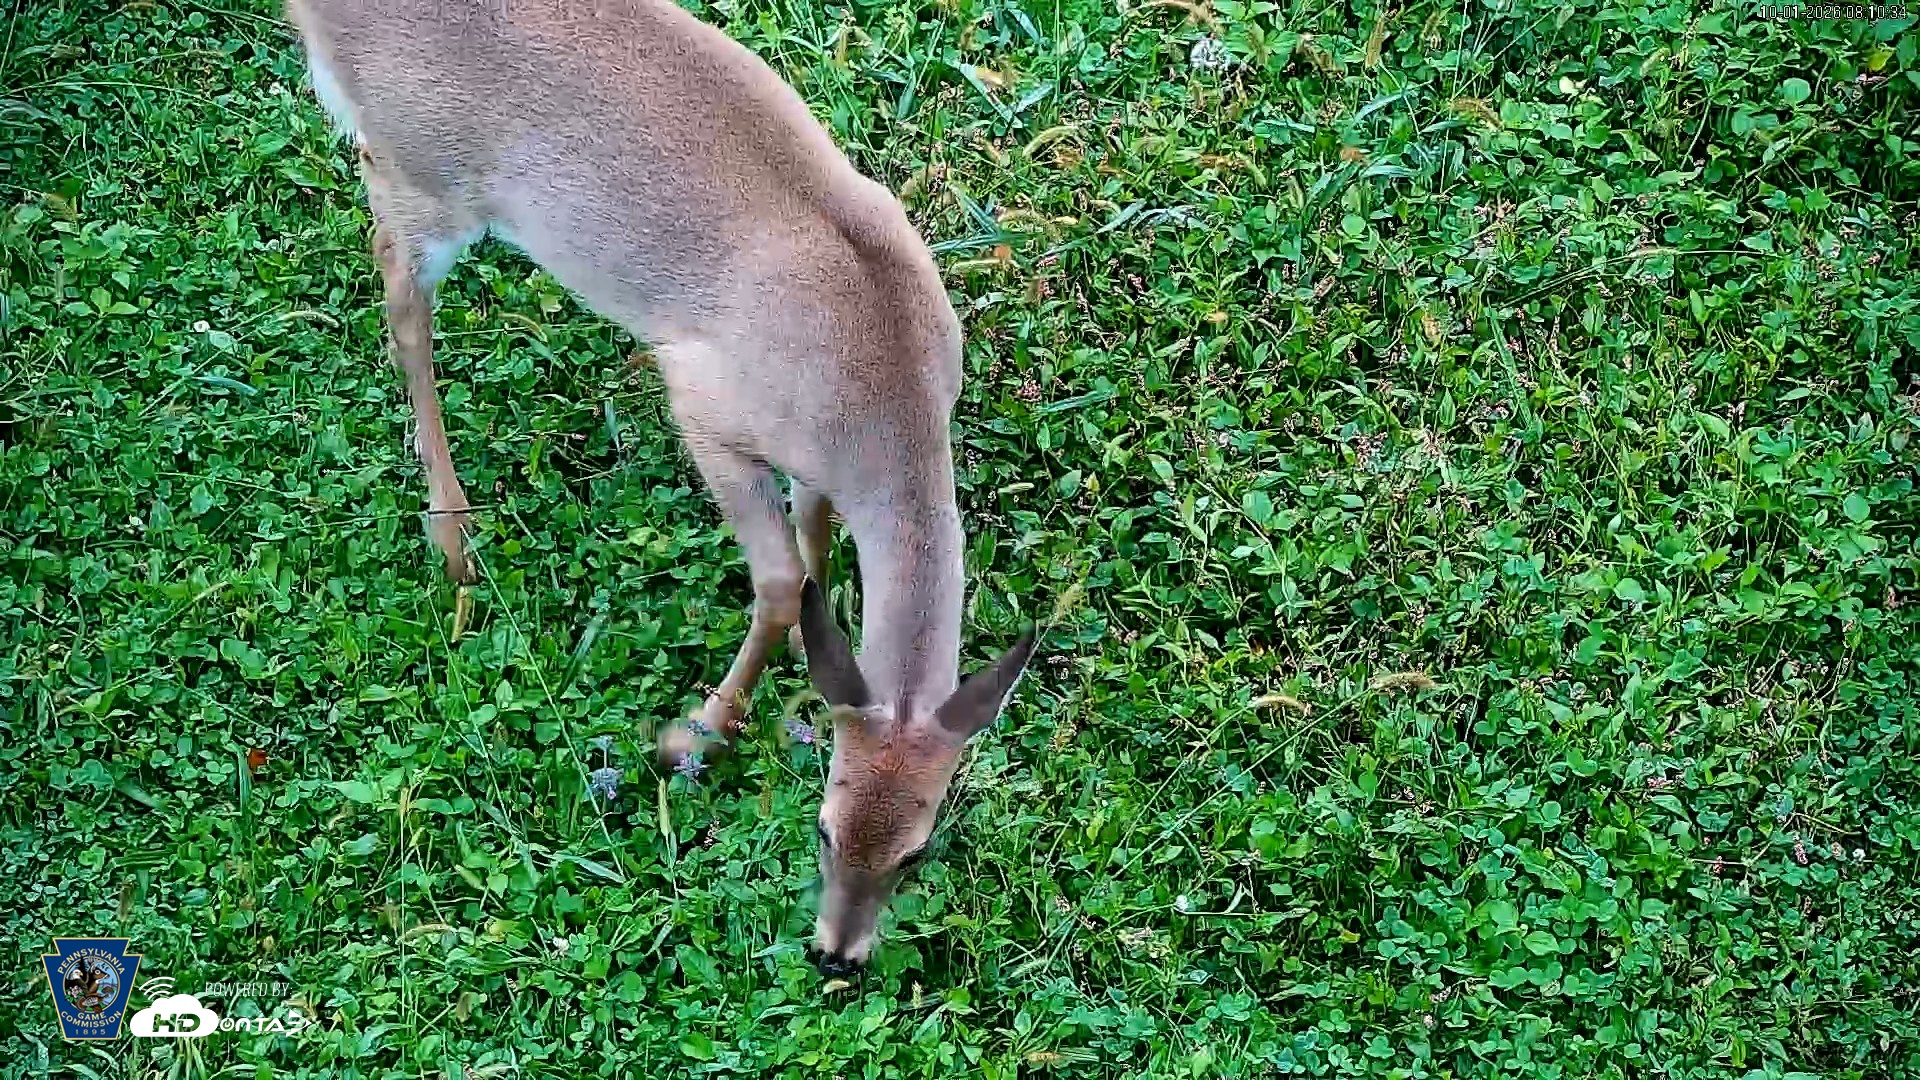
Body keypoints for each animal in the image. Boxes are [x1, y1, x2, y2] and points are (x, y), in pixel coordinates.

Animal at [284, 0, 1038, 975]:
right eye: (824, 828)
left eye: (918, 848)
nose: (837, 954)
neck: (882, 376)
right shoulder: (704, 410)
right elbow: (781, 580)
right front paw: (696, 736)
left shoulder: (812, 462)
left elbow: (817, 544)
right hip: (426, 178)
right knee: (402, 297)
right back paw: (452, 538)